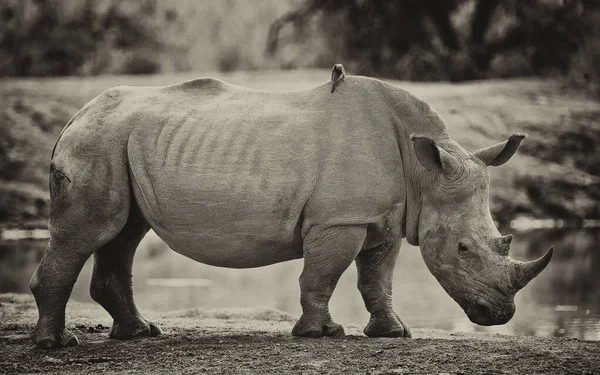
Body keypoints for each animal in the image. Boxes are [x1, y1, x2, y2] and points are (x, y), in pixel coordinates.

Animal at [28, 69, 552, 348]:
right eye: (463, 249)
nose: (500, 314)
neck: (425, 171)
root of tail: (75, 116)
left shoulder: (383, 219)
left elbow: (376, 279)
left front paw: (391, 333)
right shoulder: (339, 220)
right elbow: (322, 275)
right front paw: (322, 333)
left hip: (117, 142)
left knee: (124, 233)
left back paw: (140, 334)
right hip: (97, 142)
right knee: (90, 232)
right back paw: (57, 344)